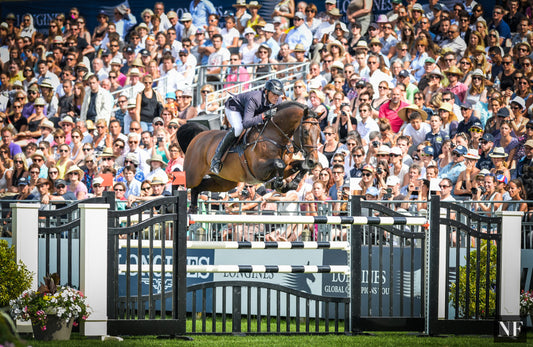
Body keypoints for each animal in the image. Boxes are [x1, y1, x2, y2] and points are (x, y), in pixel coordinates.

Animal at [178, 100, 320, 212]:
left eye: (319, 132)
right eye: (306, 131)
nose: (313, 161)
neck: (274, 135)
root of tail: (198, 136)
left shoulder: (284, 168)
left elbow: (300, 166)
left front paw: (289, 185)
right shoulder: (258, 169)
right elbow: (279, 163)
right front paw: (278, 184)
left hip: (224, 182)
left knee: (198, 188)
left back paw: (193, 209)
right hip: (191, 176)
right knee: (183, 185)